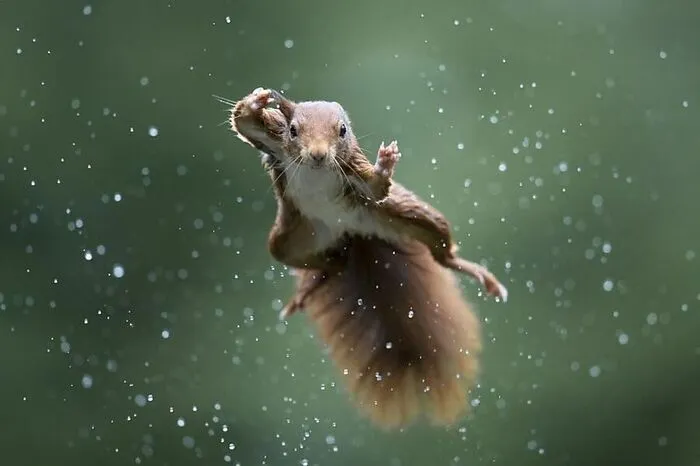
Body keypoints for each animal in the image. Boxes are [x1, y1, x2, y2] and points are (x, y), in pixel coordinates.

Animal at [228, 87, 508, 430]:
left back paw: (479, 274)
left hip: (407, 215)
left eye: (342, 130)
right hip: (289, 239)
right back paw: (308, 290)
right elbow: (243, 121)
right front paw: (258, 100)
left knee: (440, 252)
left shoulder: (354, 171)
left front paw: (385, 163)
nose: (318, 155)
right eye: (293, 130)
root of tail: (351, 234)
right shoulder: (273, 141)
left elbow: (376, 187)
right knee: (329, 262)